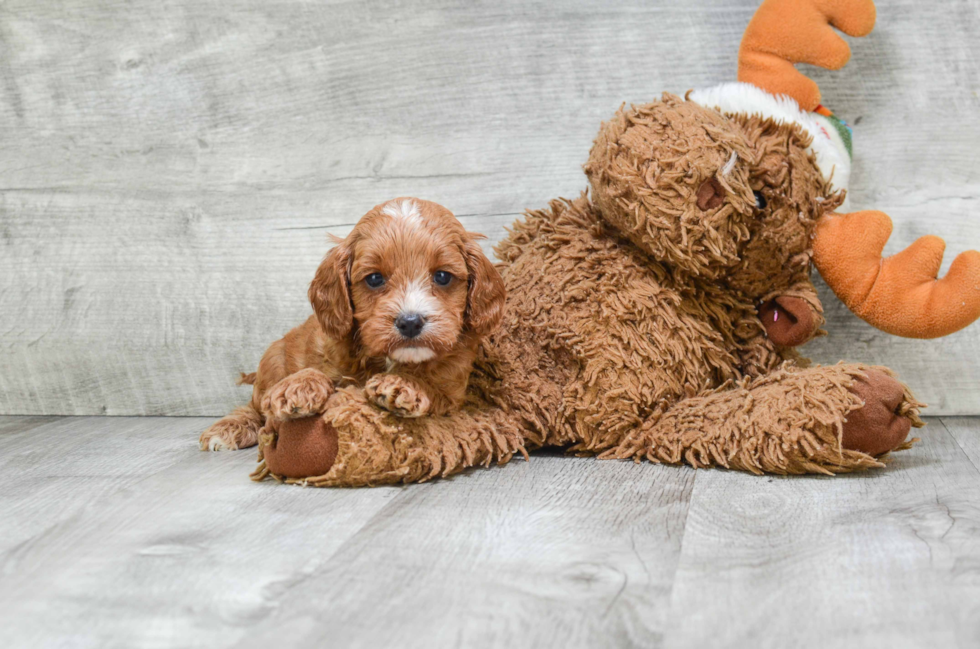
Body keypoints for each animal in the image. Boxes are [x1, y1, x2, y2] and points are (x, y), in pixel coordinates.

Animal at [199, 197, 506, 450]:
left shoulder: (453, 390)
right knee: (254, 406)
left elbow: (433, 385)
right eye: (374, 279)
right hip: (272, 359)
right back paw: (228, 428)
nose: (409, 322)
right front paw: (298, 386)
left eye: (442, 276)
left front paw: (404, 383)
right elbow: (317, 373)